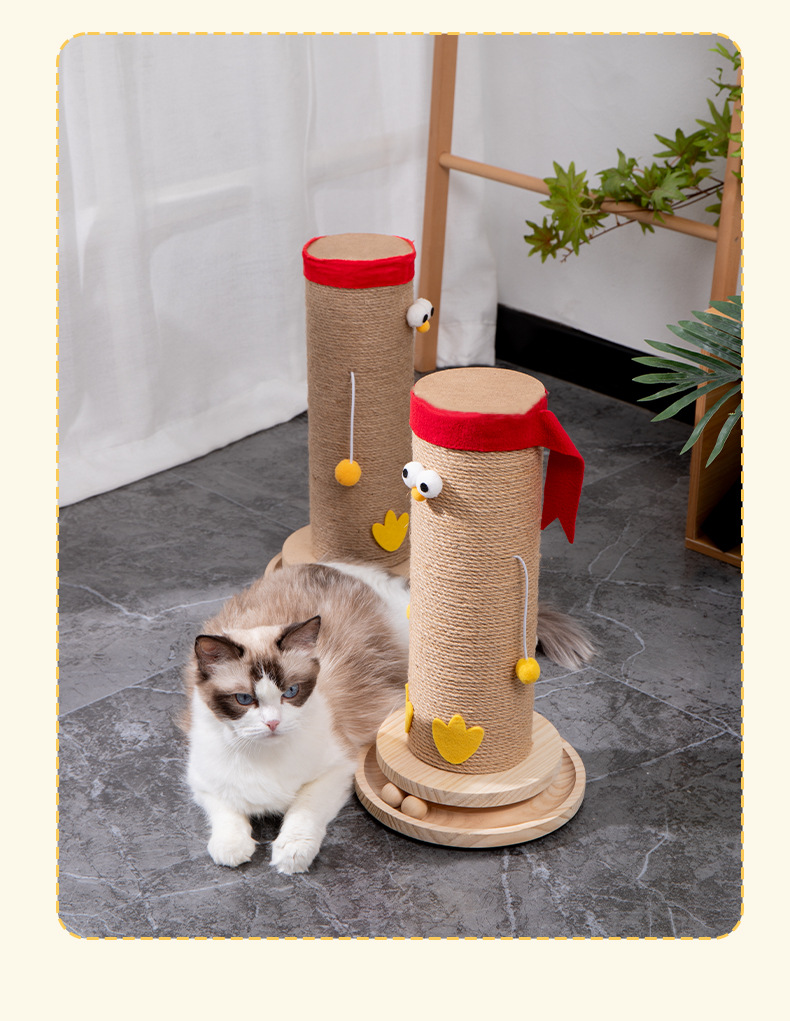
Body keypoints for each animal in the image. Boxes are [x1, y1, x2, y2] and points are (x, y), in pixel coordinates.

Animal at [182, 560, 593, 875]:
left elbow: (301, 814)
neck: (264, 757)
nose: (272, 724)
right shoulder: (203, 781)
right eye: (244, 699)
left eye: (291, 693)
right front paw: (233, 849)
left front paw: (290, 855)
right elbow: (227, 816)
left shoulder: (336, 770)